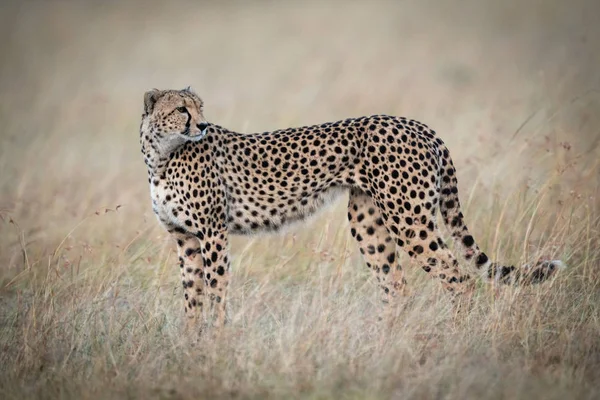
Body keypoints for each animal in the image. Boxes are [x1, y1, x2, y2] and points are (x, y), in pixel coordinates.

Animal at [138, 87, 564, 328]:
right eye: (182, 109)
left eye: (198, 107)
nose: (202, 125)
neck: (161, 154)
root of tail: (417, 124)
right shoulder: (185, 238)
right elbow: (192, 298)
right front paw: (192, 346)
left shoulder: (213, 233)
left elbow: (216, 292)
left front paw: (216, 344)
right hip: (368, 221)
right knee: (396, 286)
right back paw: (380, 343)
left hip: (409, 218)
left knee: (456, 278)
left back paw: (455, 338)